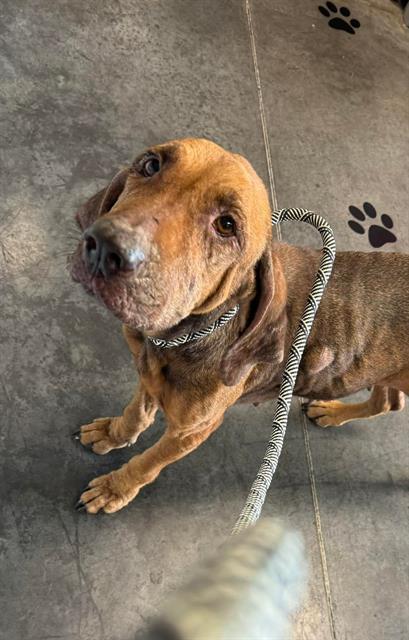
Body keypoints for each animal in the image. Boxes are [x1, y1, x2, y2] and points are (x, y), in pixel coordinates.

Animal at [68, 138, 406, 512]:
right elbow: (134, 415)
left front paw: (115, 488)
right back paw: (333, 412)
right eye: (151, 165)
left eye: (227, 226)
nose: (105, 248)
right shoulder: (148, 378)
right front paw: (113, 434)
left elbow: (148, 463)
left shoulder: (192, 431)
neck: (182, 338)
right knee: (389, 402)